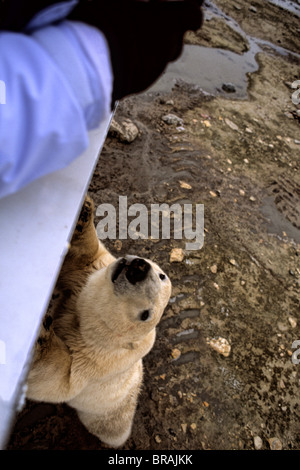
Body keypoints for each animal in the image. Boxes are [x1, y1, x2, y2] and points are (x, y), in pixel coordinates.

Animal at [26, 196, 171, 448]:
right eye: (162, 276)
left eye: (145, 314)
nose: (139, 268)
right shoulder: (91, 272)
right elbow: (84, 258)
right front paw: (83, 210)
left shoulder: (98, 362)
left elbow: (59, 379)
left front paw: (42, 332)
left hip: (112, 416)